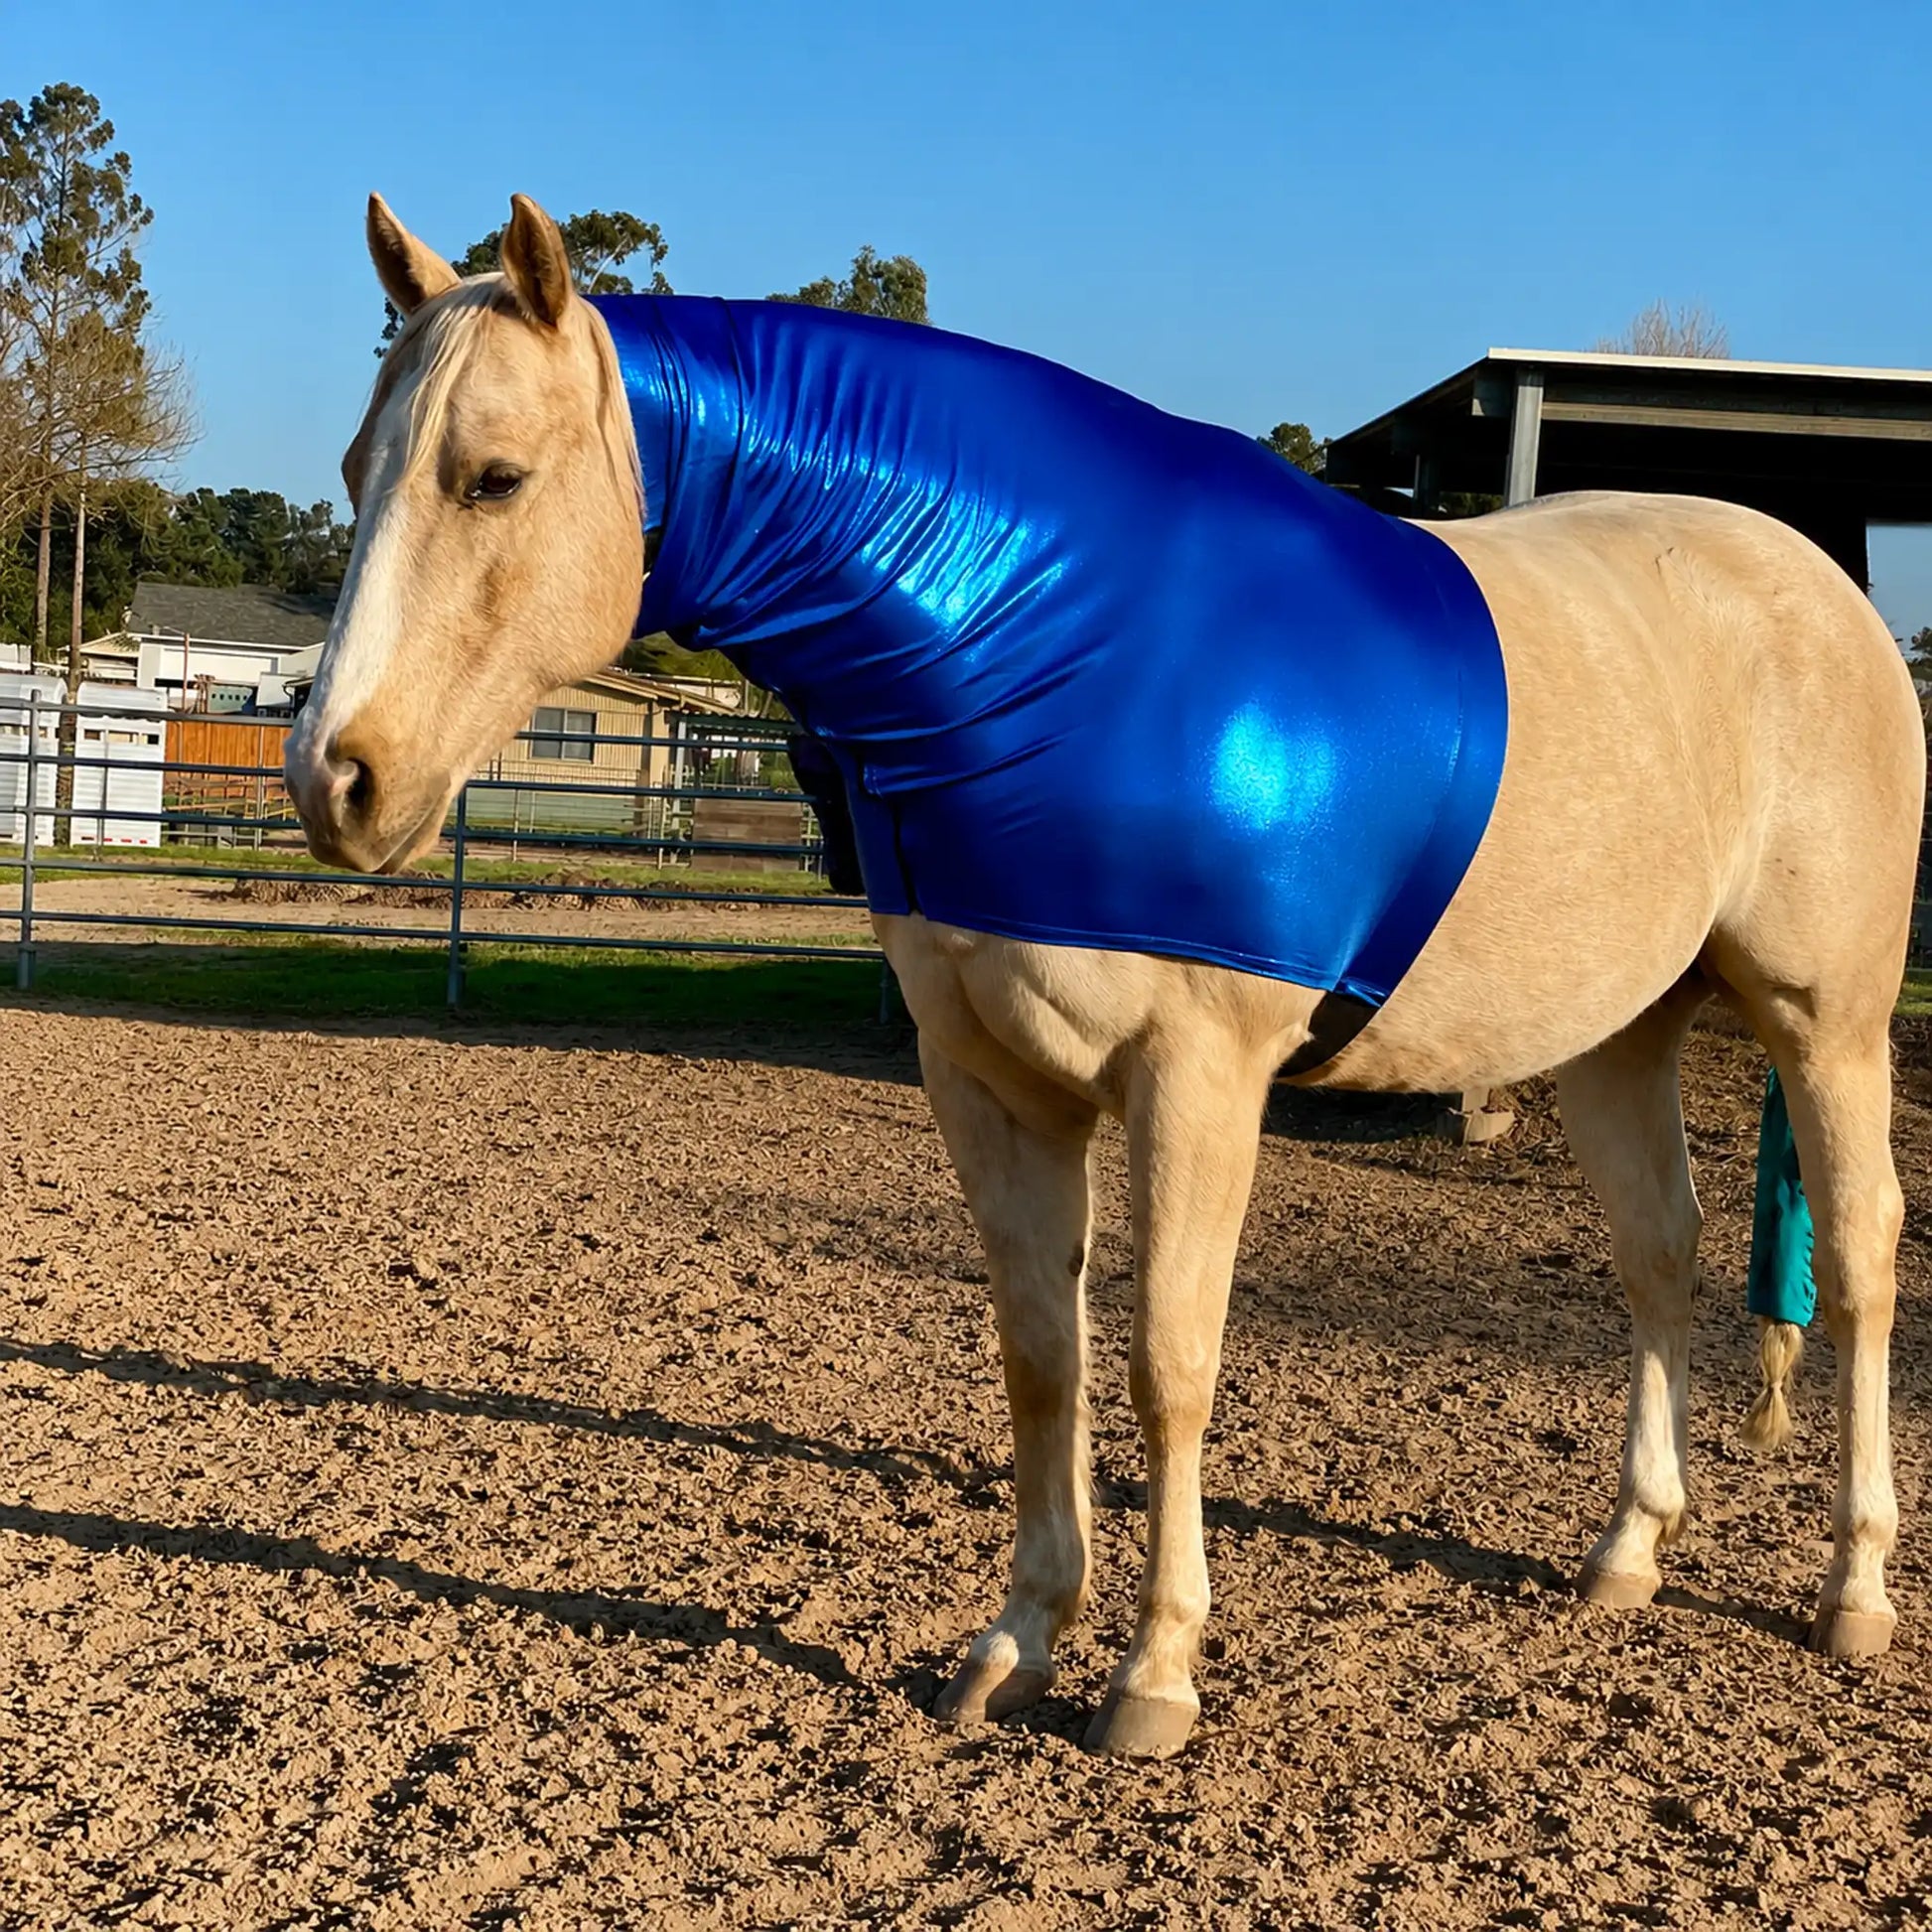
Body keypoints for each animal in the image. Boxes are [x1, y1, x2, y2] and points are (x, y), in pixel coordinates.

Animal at [285, 193, 1923, 1760]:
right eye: (360, 468)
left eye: (494, 477)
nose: (335, 778)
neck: (1047, 633)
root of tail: (1824, 595)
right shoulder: (991, 1084)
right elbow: (1040, 1357)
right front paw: (1016, 1640)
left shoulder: (1196, 1079)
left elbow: (1164, 1365)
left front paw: (1153, 1672)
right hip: (1614, 1036)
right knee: (1660, 1255)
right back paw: (1627, 1550)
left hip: (1825, 1022)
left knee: (1856, 1263)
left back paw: (1852, 1587)